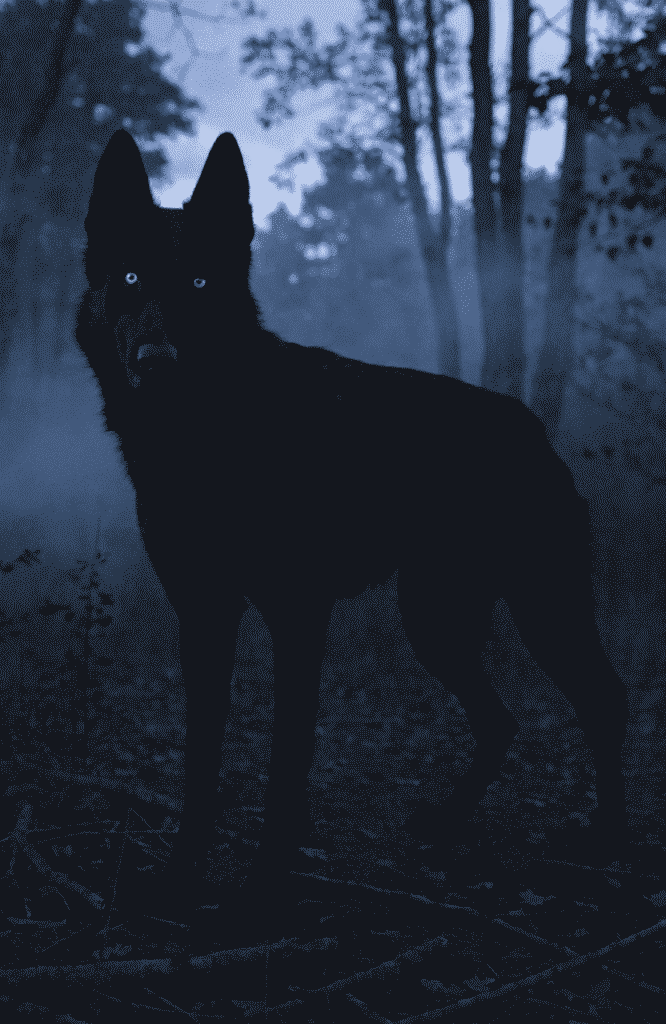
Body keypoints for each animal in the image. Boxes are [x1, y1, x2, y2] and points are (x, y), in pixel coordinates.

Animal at [76, 128, 629, 930]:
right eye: (129, 277)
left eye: (202, 284)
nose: (158, 362)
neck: (215, 439)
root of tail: (531, 427)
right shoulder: (204, 616)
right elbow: (202, 760)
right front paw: (181, 880)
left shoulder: (296, 617)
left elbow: (285, 764)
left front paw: (264, 890)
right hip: (436, 622)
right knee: (502, 722)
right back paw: (449, 825)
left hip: (537, 611)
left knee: (604, 703)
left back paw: (606, 844)